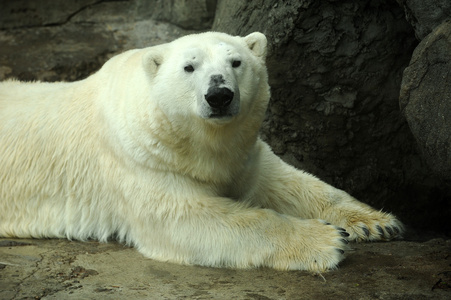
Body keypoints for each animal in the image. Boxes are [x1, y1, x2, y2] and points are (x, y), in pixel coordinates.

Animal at [0, 32, 402, 272]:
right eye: (189, 67)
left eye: (236, 62)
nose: (219, 95)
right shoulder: (142, 157)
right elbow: (187, 219)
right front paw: (328, 240)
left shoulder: (242, 155)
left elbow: (284, 181)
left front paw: (377, 222)